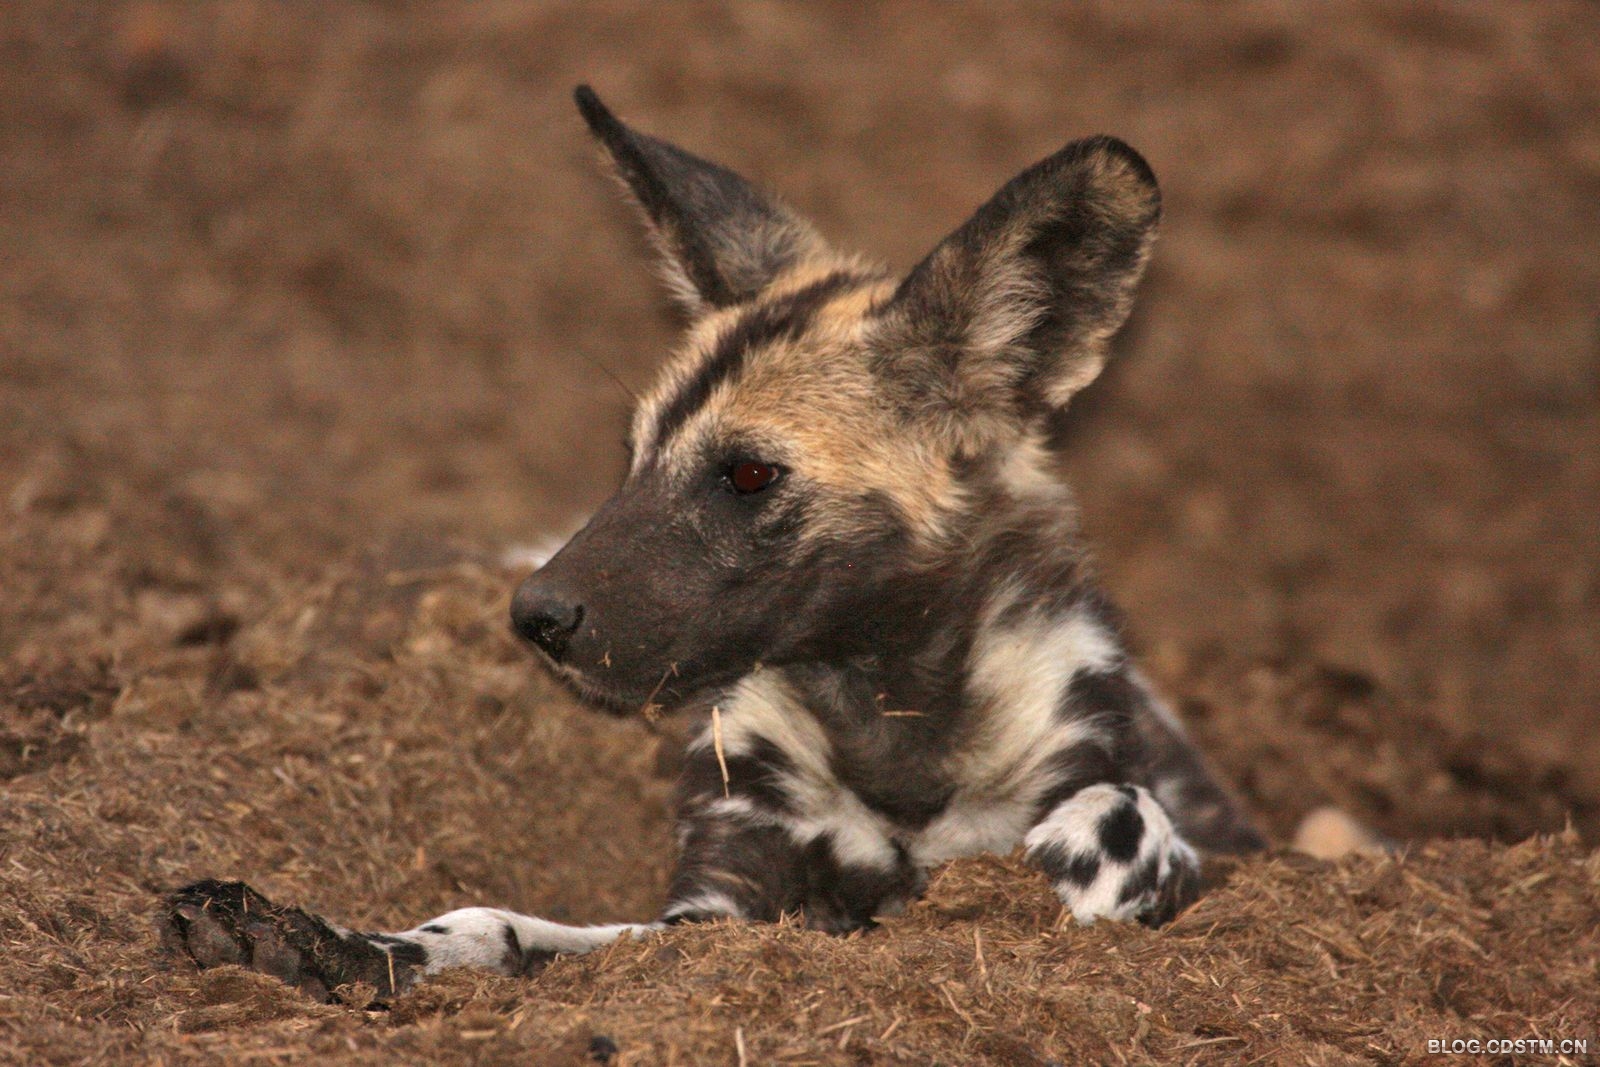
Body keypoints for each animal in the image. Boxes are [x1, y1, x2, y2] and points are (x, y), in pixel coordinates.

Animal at [165, 83, 1260, 1004]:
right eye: (632, 453)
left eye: (747, 474)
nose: (532, 613)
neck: (884, 718)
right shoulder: (707, 916)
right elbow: (488, 923)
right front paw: (324, 942)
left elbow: (1122, 812)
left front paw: (1041, 880)